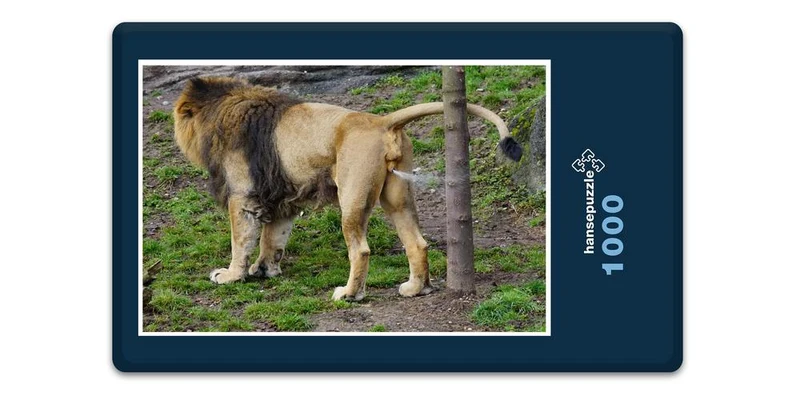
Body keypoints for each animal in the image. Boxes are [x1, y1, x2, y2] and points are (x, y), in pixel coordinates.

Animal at [173, 76, 522, 301]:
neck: (220, 109)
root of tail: (382, 121)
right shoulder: (282, 199)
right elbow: (273, 238)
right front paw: (264, 270)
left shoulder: (242, 195)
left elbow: (241, 240)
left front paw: (231, 276)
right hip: (397, 196)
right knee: (418, 243)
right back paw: (415, 288)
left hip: (352, 196)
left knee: (361, 250)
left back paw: (349, 294)